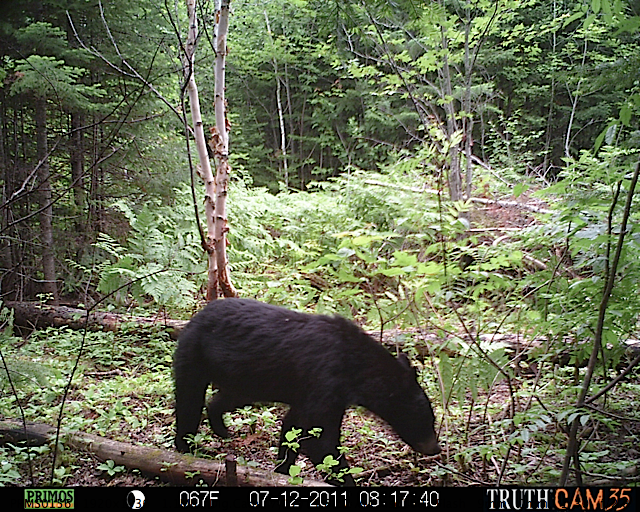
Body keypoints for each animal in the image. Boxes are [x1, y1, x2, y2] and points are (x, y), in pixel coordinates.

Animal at [176, 296, 444, 484]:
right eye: (427, 419)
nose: (436, 448)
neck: (354, 366)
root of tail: (196, 315)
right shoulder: (324, 379)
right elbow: (320, 440)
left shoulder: (313, 392)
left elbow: (293, 427)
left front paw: (282, 470)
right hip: (194, 354)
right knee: (188, 401)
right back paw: (187, 449)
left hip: (247, 379)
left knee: (225, 398)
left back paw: (220, 426)